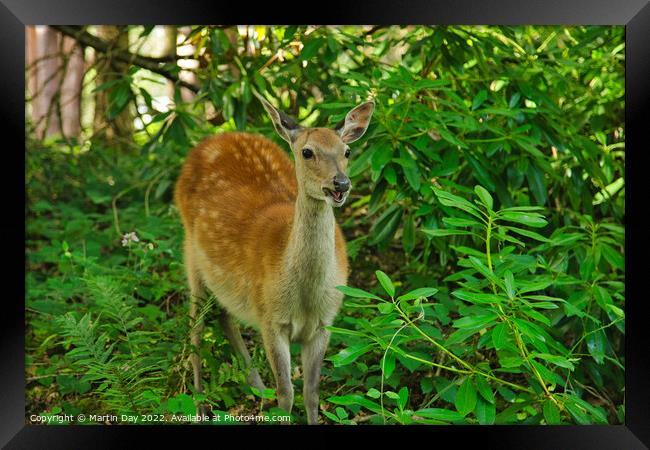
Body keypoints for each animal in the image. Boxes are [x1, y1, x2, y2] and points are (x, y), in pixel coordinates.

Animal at [173, 93, 374, 424]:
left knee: (224, 315)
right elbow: (286, 393)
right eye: (307, 152)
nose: (341, 184)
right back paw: (200, 407)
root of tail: (213, 138)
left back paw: (257, 388)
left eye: (347, 150)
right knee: (197, 329)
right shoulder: (270, 318)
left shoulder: (324, 323)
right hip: (191, 255)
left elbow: (311, 392)